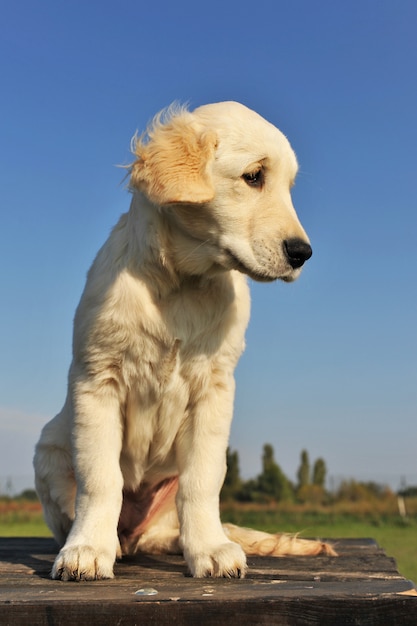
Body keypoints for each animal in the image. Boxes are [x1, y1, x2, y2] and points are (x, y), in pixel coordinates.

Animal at [33, 98, 334, 580]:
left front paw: (210, 549)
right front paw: (86, 550)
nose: (302, 253)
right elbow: (100, 478)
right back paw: (110, 544)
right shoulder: (97, 381)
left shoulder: (215, 390)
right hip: (48, 449)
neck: (183, 284)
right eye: (254, 176)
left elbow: (203, 479)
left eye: (288, 186)